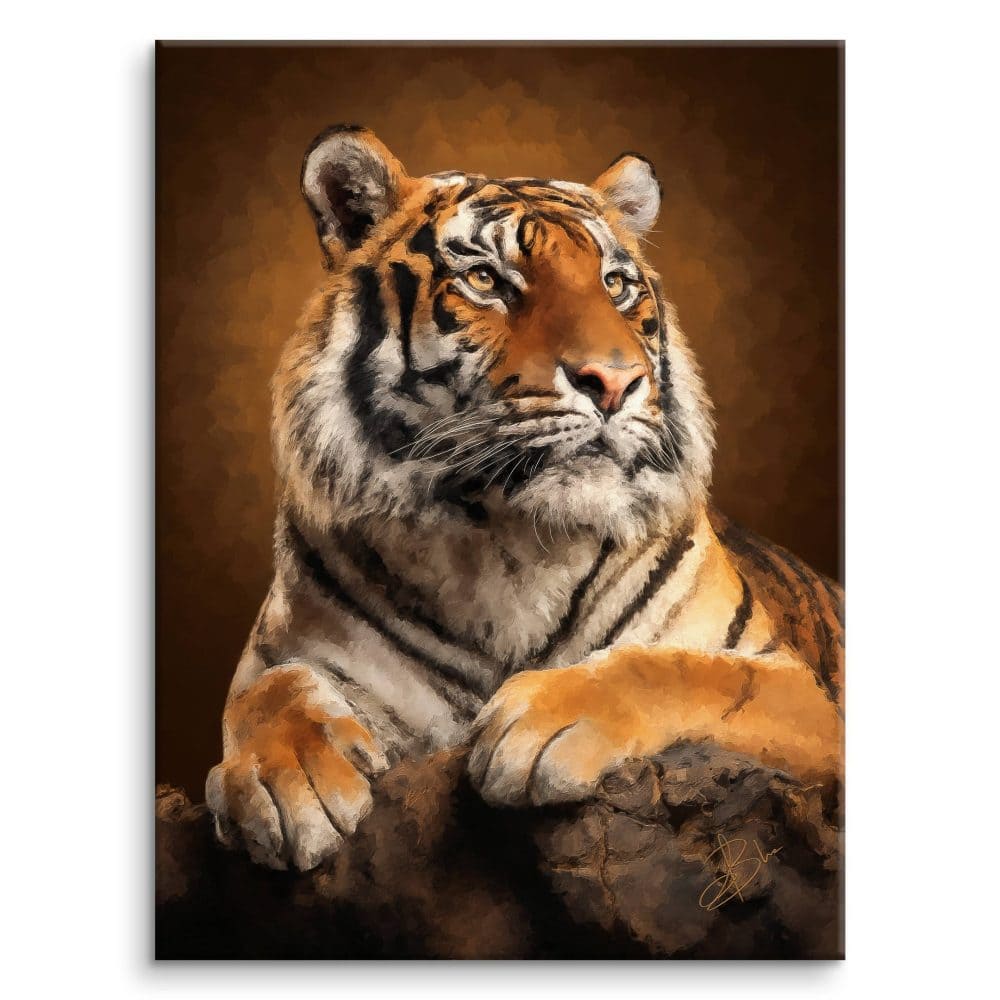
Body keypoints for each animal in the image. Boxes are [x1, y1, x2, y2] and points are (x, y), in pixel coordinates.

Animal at [205, 125, 844, 872]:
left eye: (615, 285)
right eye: (487, 280)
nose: (614, 381)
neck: (509, 540)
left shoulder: (805, 696)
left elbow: (688, 673)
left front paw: (548, 720)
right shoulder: (281, 650)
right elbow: (265, 692)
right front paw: (288, 778)